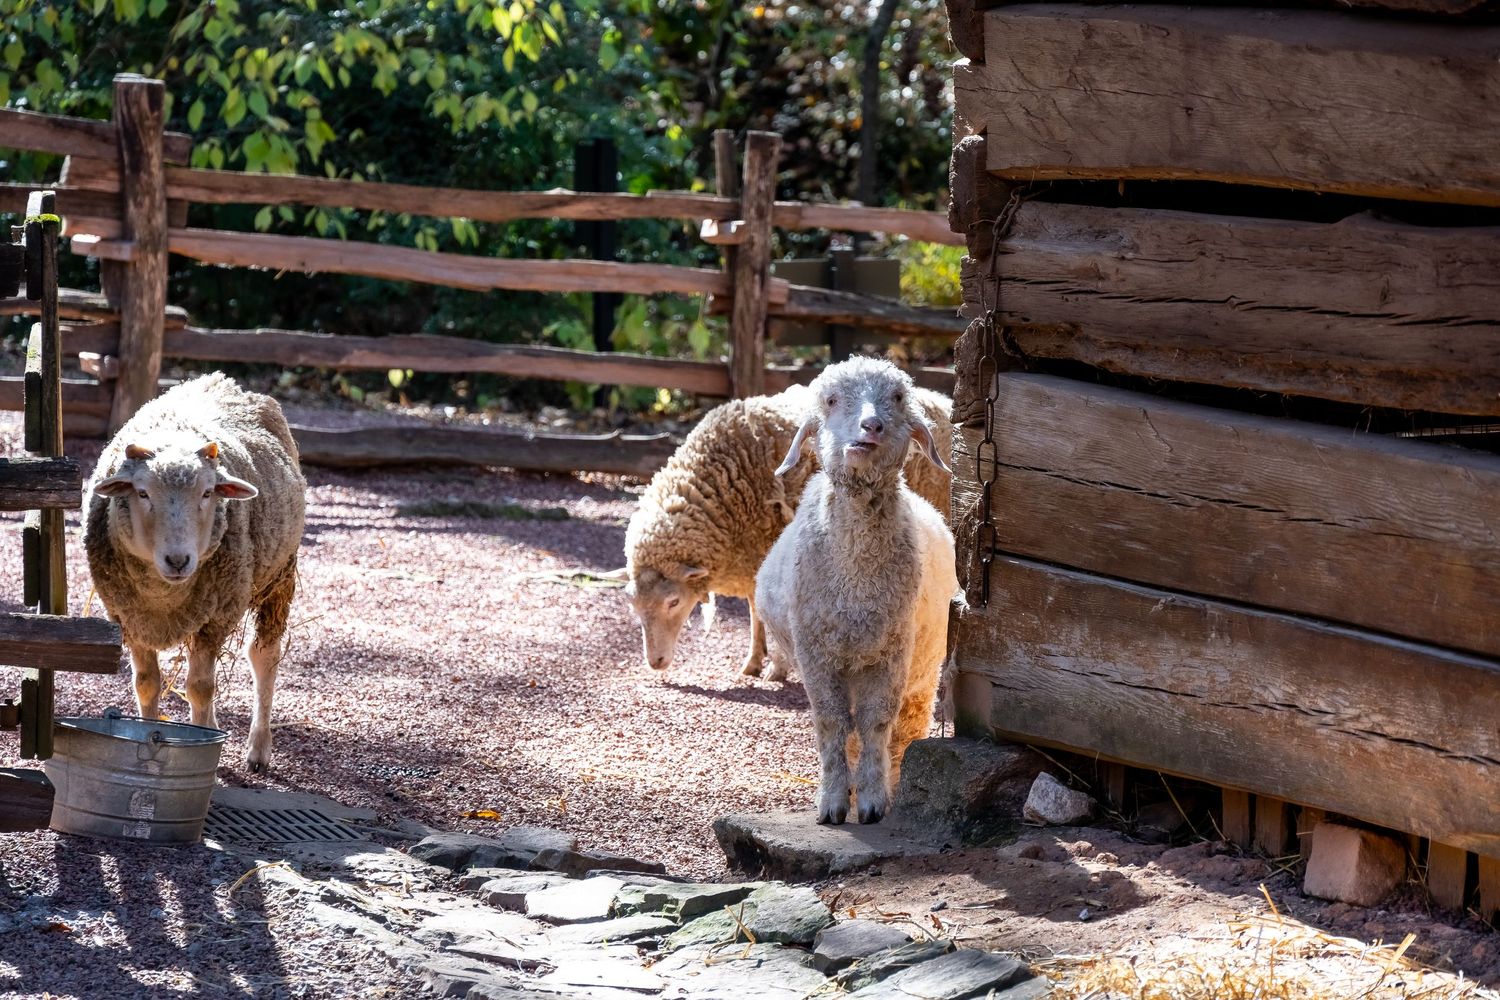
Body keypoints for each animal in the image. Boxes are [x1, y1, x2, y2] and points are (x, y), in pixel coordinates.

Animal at [84, 373, 306, 773]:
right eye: (142, 493)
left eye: (207, 494)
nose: (178, 560)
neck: (163, 595)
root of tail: (218, 379)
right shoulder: (128, 616)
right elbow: (146, 684)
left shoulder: (215, 618)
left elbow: (200, 688)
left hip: (279, 575)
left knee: (263, 655)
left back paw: (258, 748)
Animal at [624, 381, 952, 680]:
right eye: (634, 605)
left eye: (673, 601)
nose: (655, 662)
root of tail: (942, 400)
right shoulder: (752, 556)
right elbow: (756, 608)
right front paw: (755, 659)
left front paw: (777, 666)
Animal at [753, 357, 960, 825]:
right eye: (831, 400)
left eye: (898, 398)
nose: (872, 426)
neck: (856, 583)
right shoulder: (816, 655)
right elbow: (832, 725)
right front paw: (833, 802)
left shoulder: (891, 653)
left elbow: (876, 725)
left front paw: (872, 800)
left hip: (923, 671)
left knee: (905, 729)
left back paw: (893, 782)